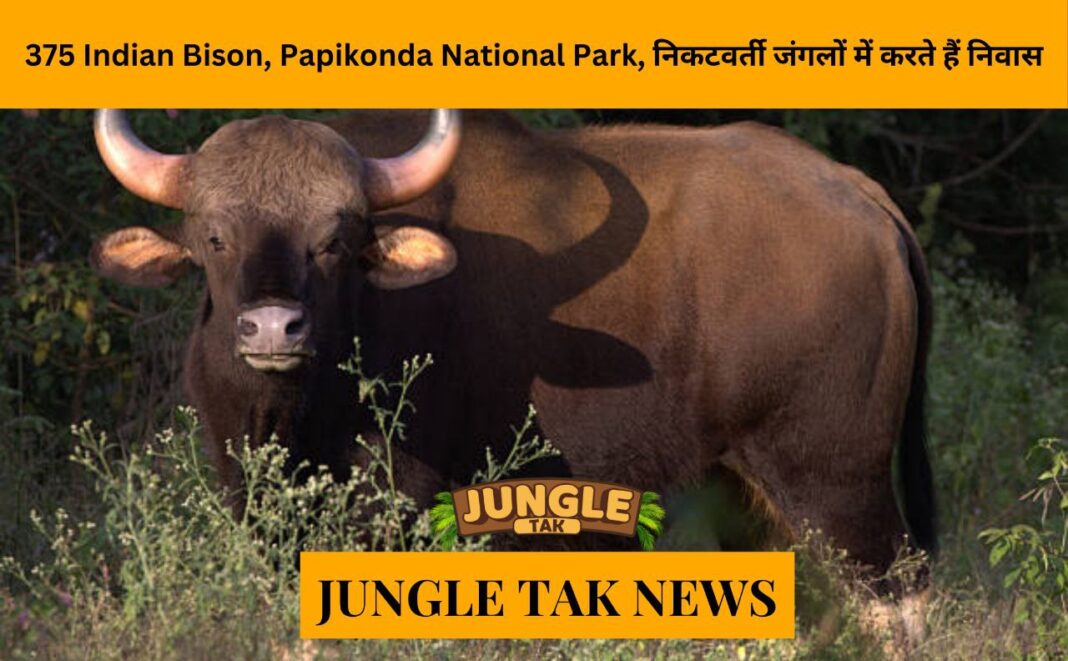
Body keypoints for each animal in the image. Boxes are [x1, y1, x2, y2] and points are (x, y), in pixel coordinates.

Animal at [90, 109, 935, 575]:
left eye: (334, 240)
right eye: (214, 236)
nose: (273, 327)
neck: (298, 408)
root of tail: (861, 195)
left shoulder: (398, 495)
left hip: (835, 475)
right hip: (746, 489)